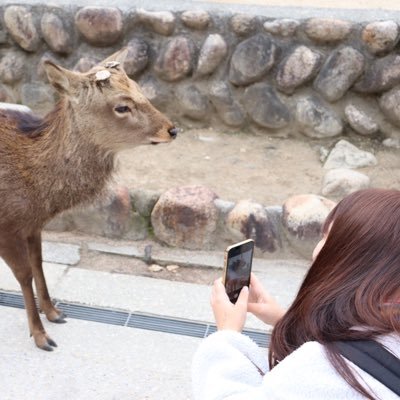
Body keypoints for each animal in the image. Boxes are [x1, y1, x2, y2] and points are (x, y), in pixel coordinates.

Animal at [0, 49, 177, 350]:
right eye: (122, 106)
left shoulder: (32, 224)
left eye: (140, 89)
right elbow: (24, 274)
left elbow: (39, 264)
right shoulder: (7, 227)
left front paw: (54, 312)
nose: (172, 129)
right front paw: (41, 336)